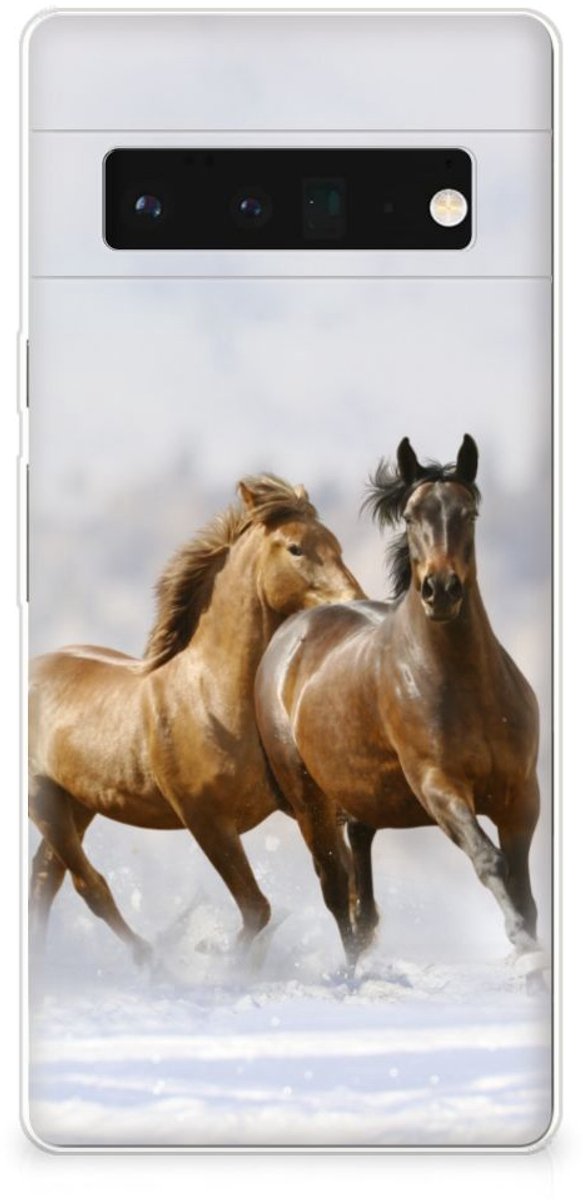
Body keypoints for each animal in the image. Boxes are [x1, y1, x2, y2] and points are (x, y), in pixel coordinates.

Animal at [29, 474, 364, 963]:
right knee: (87, 885)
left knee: (44, 878)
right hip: (43, 799)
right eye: (296, 548)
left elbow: (338, 885)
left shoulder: (305, 806)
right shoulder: (206, 821)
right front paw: (218, 957)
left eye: (336, 543)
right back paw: (151, 961)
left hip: (78, 802)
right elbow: (257, 909)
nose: (355, 602)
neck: (213, 700)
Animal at [255, 437, 541, 969]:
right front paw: (522, 945)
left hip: (360, 800)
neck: (467, 687)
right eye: (410, 516)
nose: (440, 590)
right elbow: (490, 861)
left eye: (469, 512)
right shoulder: (439, 787)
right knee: (336, 890)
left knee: (361, 896)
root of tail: (289, 634)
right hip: (310, 803)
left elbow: (524, 888)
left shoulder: (521, 796)